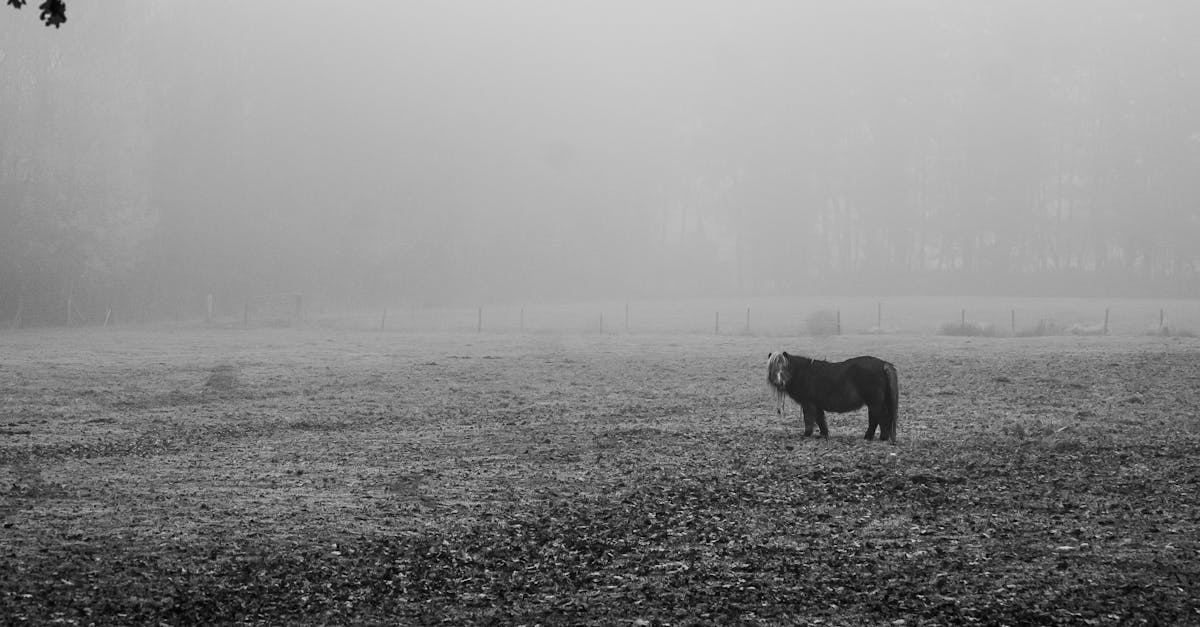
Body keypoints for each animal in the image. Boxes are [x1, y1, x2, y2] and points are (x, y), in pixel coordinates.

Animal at [767, 351, 899, 444]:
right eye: (773, 369)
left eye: (784, 367)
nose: (779, 382)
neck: (803, 373)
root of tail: (883, 364)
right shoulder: (816, 405)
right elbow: (820, 420)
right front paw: (823, 434)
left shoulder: (808, 403)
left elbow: (808, 419)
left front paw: (806, 434)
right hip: (874, 403)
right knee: (875, 419)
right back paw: (868, 437)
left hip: (874, 402)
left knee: (881, 418)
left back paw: (882, 437)